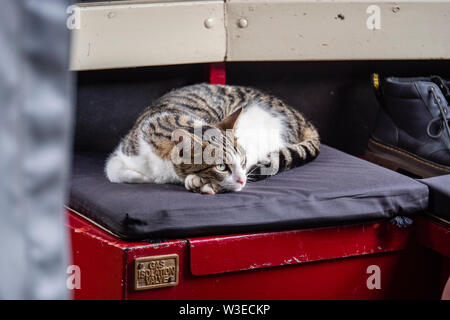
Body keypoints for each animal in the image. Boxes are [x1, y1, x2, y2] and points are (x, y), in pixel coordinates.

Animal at [105, 84, 320, 194]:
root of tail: (300, 117)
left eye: (242, 160)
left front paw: (198, 181)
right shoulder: (123, 152)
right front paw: (144, 177)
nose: (242, 180)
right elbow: (113, 171)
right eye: (221, 166)